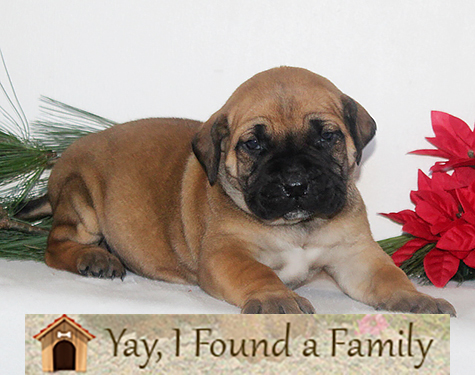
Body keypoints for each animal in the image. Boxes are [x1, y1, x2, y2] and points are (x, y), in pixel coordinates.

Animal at [36, 67, 454, 314]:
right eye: (253, 144)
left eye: (326, 136)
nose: (295, 184)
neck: (297, 229)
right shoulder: (226, 253)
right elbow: (258, 273)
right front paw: (276, 298)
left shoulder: (356, 255)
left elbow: (389, 278)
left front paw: (416, 299)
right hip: (81, 199)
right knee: (55, 246)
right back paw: (94, 257)